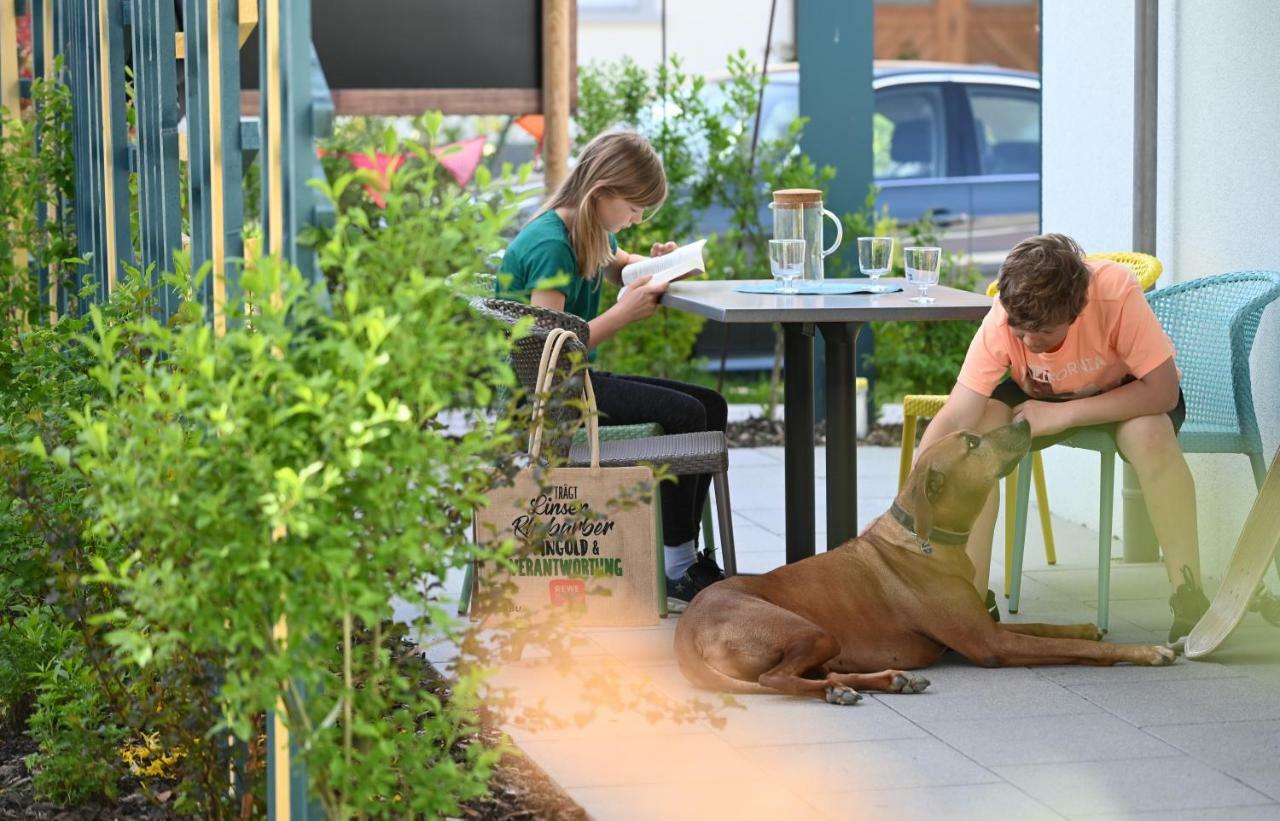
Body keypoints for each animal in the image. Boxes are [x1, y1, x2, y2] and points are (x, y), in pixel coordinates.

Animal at [675, 420, 1172, 701]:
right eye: (971, 442)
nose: (1026, 418)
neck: (930, 539)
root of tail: (685, 633)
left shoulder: (986, 626)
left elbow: (1047, 628)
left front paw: (1085, 626)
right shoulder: (991, 644)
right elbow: (1076, 648)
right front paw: (1144, 652)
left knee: (813, 672)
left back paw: (887, 680)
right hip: (808, 630)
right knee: (776, 679)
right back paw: (838, 691)